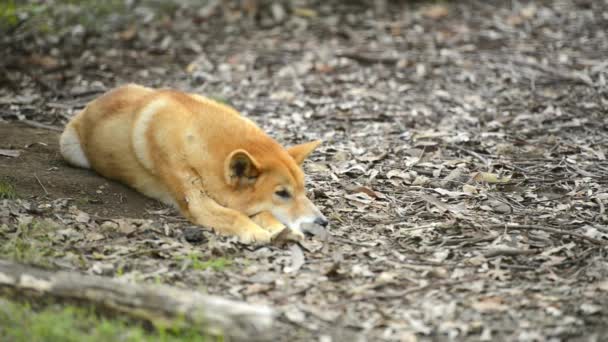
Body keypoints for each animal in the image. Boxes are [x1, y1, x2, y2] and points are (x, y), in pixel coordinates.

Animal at [60, 84, 328, 242]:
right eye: (282, 193)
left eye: (303, 190)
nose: (323, 222)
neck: (198, 140)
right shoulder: (197, 201)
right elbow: (235, 215)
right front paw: (255, 232)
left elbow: (261, 212)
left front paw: (277, 227)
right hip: (70, 149)